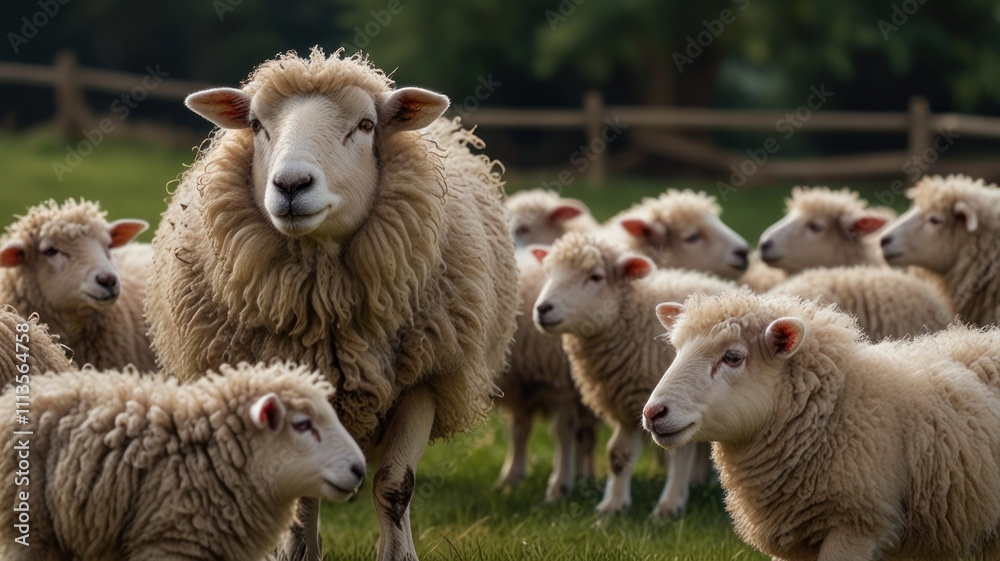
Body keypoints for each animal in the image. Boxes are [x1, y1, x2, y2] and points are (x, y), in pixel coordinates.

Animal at [145, 48, 518, 561]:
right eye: (256, 124)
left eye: (365, 125)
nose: (291, 184)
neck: (326, 317)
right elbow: (302, 496)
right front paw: (297, 553)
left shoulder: (426, 380)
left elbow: (394, 486)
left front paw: (398, 555)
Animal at [497, 189, 600, 501]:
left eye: (523, 228)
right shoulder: (518, 383)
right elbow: (518, 430)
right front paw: (511, 476)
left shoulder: (562, 385)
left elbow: (562, 433)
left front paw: (559, 485)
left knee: (585, 436)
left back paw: (584, 475)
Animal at [533, 232, 736, 518]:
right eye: (549, 272)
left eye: (595, 277)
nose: (542, 309)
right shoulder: (626, 404)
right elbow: (618, 454)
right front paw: (613, 506)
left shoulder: (678, 406)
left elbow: (679, 452)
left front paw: (668, 507)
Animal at [643, 289, 1000, 561]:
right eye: (677, 350)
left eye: (733, 357)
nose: (653, 413)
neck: (833, 412)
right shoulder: (795, 539)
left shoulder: (857, 525)